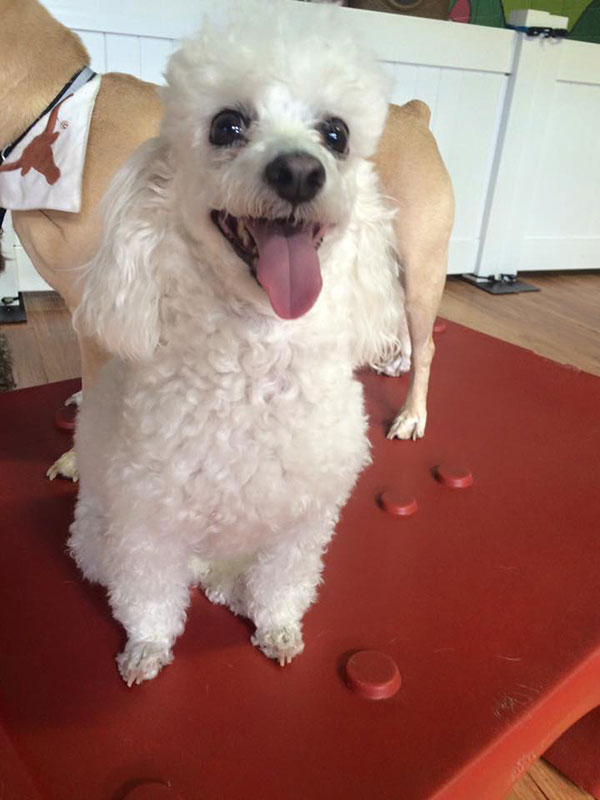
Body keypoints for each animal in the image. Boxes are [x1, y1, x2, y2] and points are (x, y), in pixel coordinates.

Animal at [0, 0, 452, 484]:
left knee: (427, 343)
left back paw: (412, 413)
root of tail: (414, 113)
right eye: (227, 127)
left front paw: (79, 457)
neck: (48, 112)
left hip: (422, 268)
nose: (298, 173)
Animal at [68, 2, 452, 686]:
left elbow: (282, 584)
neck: (256, 356)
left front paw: (275, 627)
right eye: (227, 126)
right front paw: (146, 649)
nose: (299, 171)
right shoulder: (146, 524)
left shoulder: (301, 524)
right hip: (93, 538)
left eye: (335, 134)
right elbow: (149, 598)